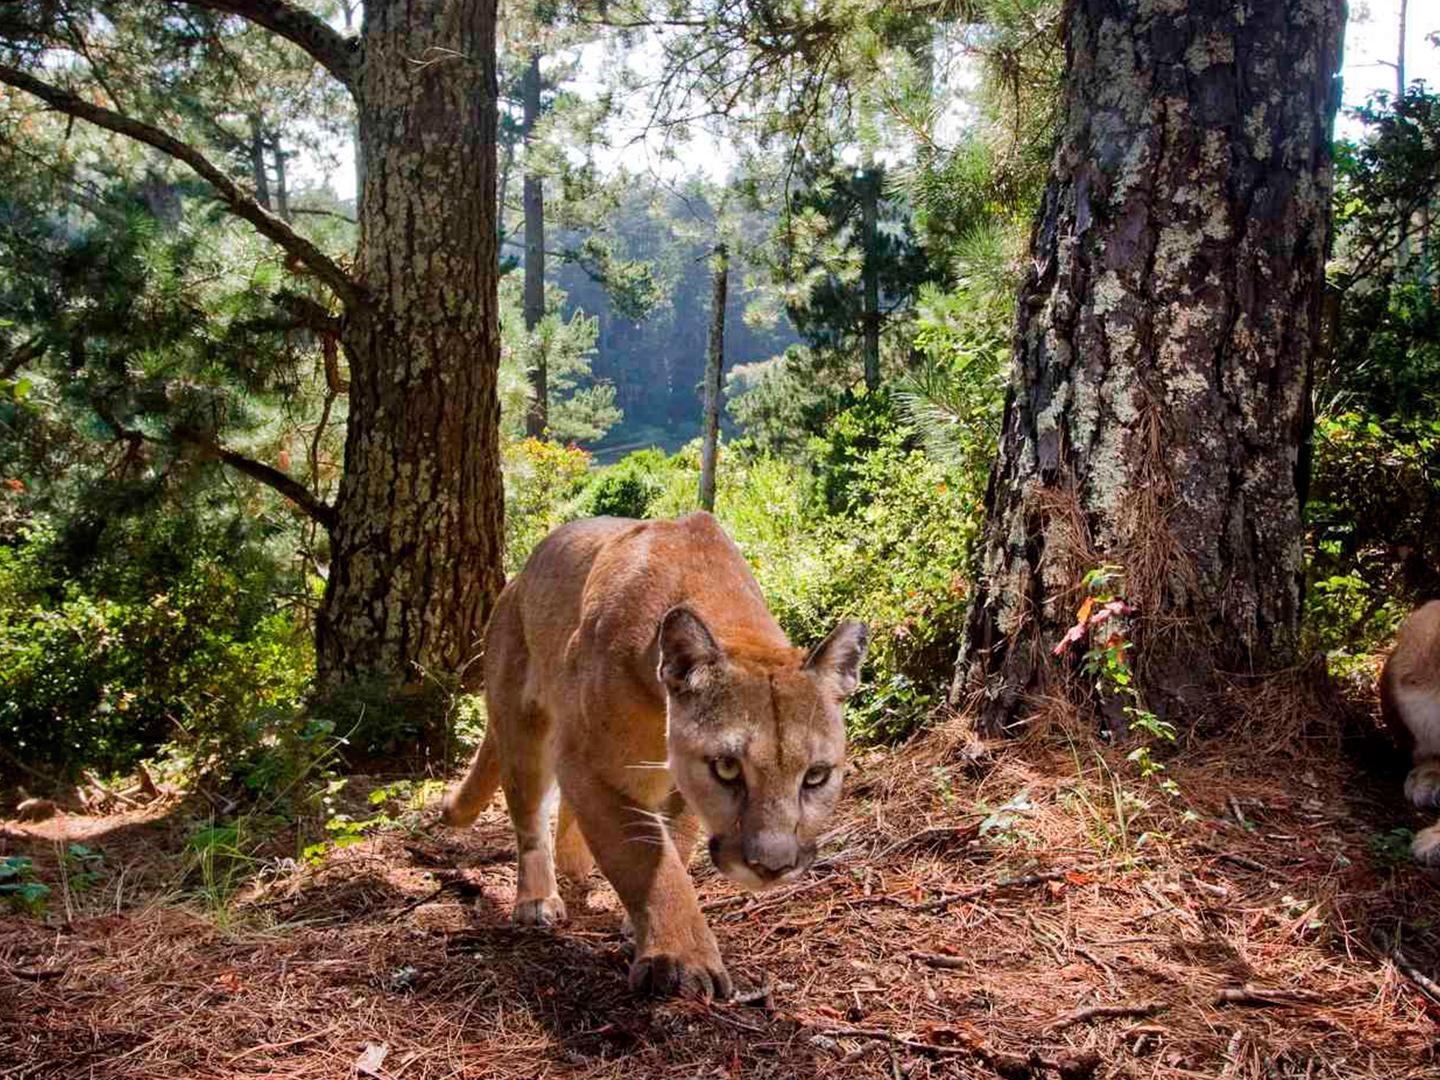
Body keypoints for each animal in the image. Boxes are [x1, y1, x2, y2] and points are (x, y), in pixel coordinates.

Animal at [437, 512, 864, 1002]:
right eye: (727, 768)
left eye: (815, 776)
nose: (772, 867)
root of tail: (514, 583)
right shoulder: (593, 764)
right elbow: (647, 859)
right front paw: (680, 959)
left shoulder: (671, 781)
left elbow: (674, 843)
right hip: (524, 731)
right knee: (530, 822)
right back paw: (537, 900)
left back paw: (576, 864)